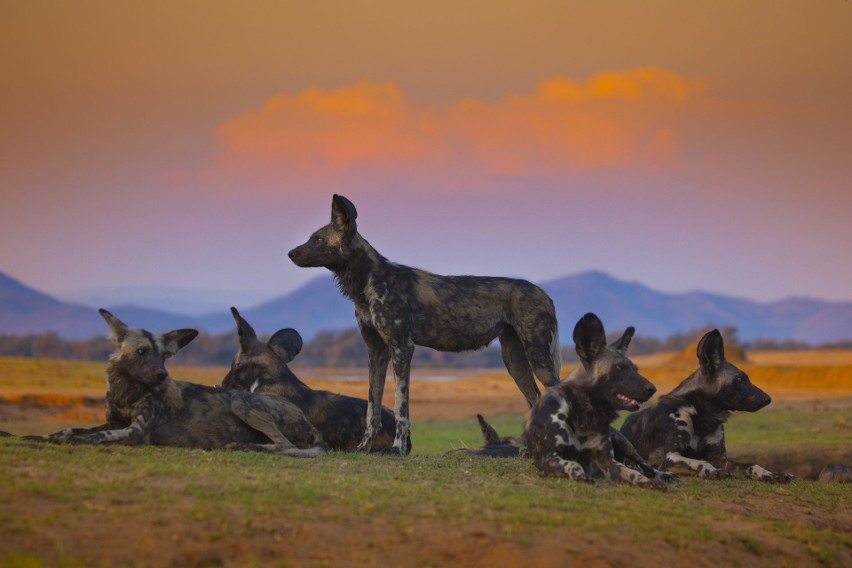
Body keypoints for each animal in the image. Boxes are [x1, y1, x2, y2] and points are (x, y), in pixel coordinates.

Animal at [25, 308, 326, 460]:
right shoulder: (114, 422)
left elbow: (95, 436)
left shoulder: (135, 432)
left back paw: (244, 446)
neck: (126, 391)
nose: (162, 375)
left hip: (240, 400)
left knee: (285, 445)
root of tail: (308, 421)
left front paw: (74, 440)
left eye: (164, 355)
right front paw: (42, 437)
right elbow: (69, 429)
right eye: (142, 351)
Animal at [290, 195, 564, 458]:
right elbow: (372, 409)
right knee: (535, 401)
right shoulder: (376, 353)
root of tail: (545, 294)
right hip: (514, 361)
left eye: (319, 239)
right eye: (312, 237)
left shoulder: (402, 349)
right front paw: (364, 447)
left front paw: (398, 449)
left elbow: (401, 410)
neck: (369, 280)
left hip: (539, 359)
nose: (290, 253)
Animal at [462, 310, 676, 488]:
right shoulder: (548, 459)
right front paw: (580, 474)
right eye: (619, 368)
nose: (653, 389)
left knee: (645, 465)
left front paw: (648, 482)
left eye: (636, 369)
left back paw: (663, 475)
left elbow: (632, 473)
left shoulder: (609, 462)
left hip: (624, 443)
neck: (584, 414)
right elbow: (572, 464)